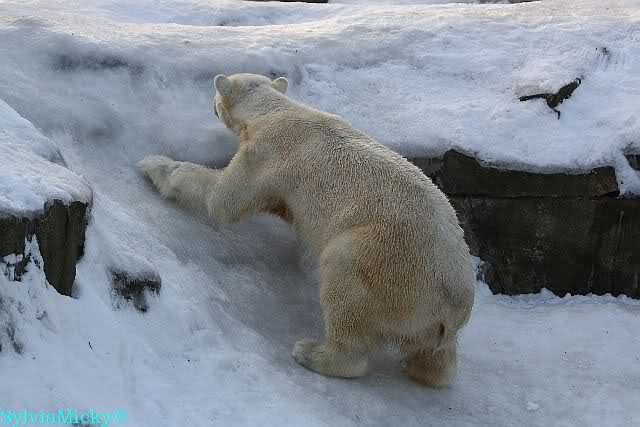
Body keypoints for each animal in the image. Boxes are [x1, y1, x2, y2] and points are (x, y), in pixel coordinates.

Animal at [137, 73, 475, 386]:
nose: (210, 104)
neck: (273, 110)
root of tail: (453, 303)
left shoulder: (266, 154)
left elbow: (222, 200)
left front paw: (152, 164)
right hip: (431, 322)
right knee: (435, 359)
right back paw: (424, 371)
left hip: (387, 262)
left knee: (344, 281)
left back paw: (313, 352)